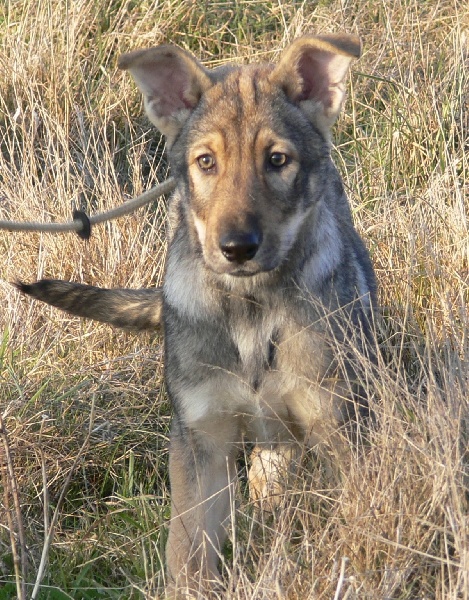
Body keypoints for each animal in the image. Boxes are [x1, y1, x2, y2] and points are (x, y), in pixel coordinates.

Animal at [19, 34, 377, 598]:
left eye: (278, 160)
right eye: (206, 162)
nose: (237, 248)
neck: (250, 307)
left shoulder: (338, 425)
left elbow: (354, 521)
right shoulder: (200, 436)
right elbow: (187, 548)